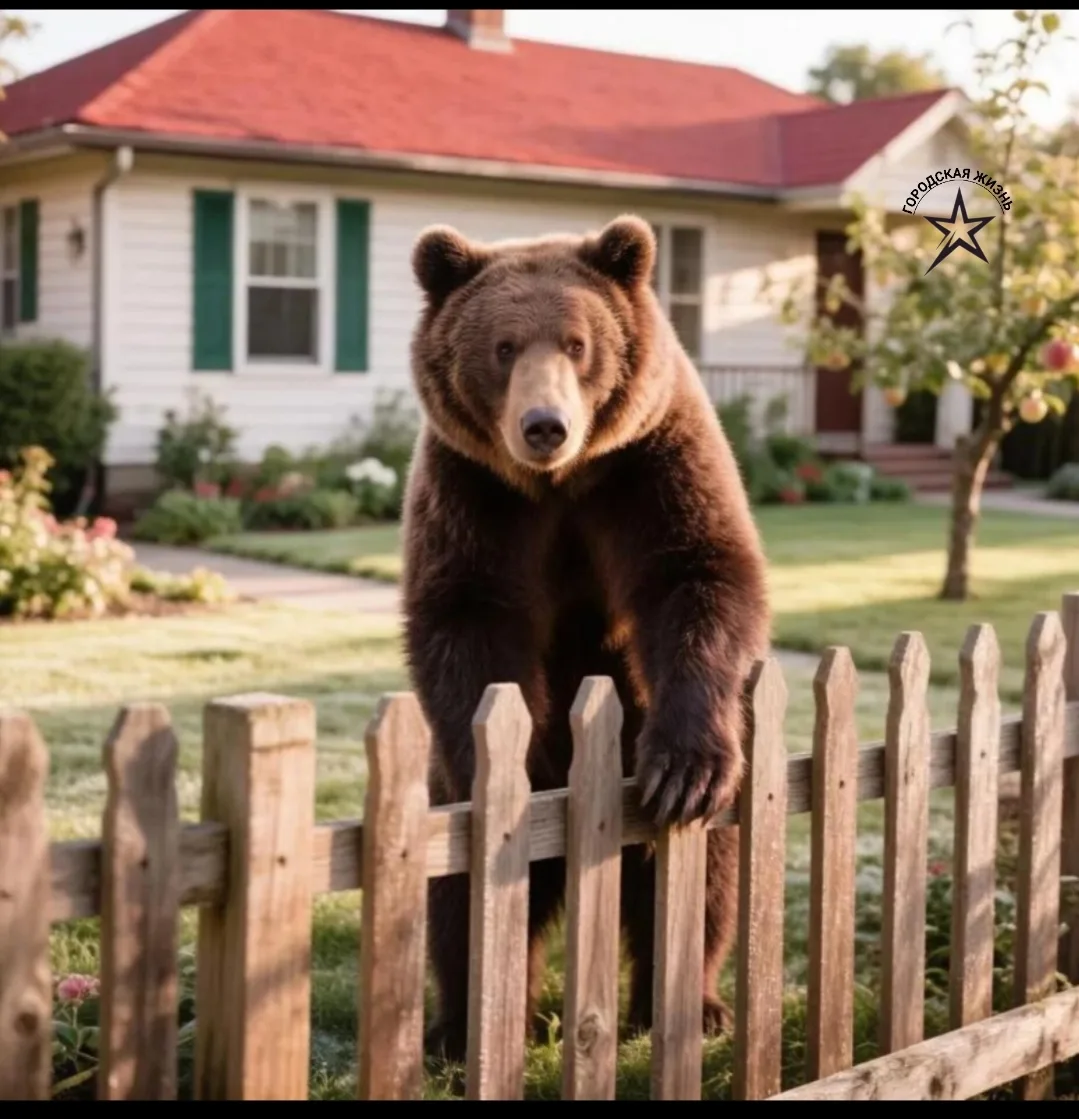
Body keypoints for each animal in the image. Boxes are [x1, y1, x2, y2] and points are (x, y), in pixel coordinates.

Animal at [401, 214, 771, 1062]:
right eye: (503, 346)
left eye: (576, 342)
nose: (545, 425)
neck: (559, 485)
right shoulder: (473, 490)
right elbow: (463, 615)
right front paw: (523, 766)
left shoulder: (651, 461)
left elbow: (698, 571)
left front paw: (683, 768)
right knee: (460, 897)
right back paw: (463, 1024)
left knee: (703, 881)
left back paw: (690, 1006)